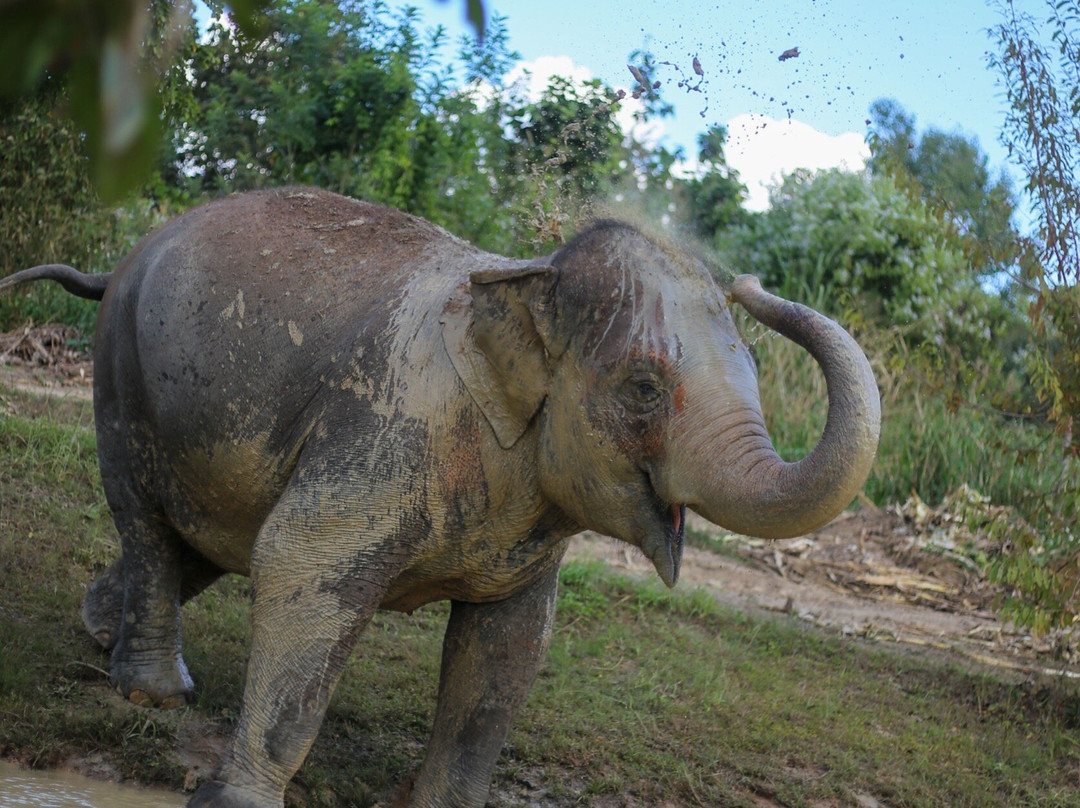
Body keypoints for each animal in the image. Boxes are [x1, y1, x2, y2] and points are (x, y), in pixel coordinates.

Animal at [0, 186, 880, 807]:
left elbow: (509, 644)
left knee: (206, 539)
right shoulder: (391, 430)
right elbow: (300, 565)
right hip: (121, 375)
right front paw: (235, 802)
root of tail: (117, 262)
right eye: (644, 388)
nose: (750, 280)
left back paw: (100, 628)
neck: (528, 275)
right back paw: (154, 691)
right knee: (149, 517)